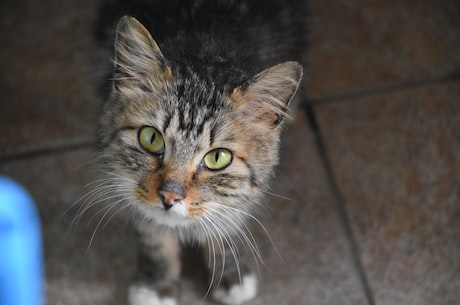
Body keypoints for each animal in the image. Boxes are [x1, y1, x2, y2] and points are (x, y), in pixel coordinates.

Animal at [94, 0, 306, 304]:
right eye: (151, 139)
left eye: (218, 158)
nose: (169, 197)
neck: (204, 48)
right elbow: (153, 239)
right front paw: (157, 284)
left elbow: (227, 224)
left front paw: (229, 273)